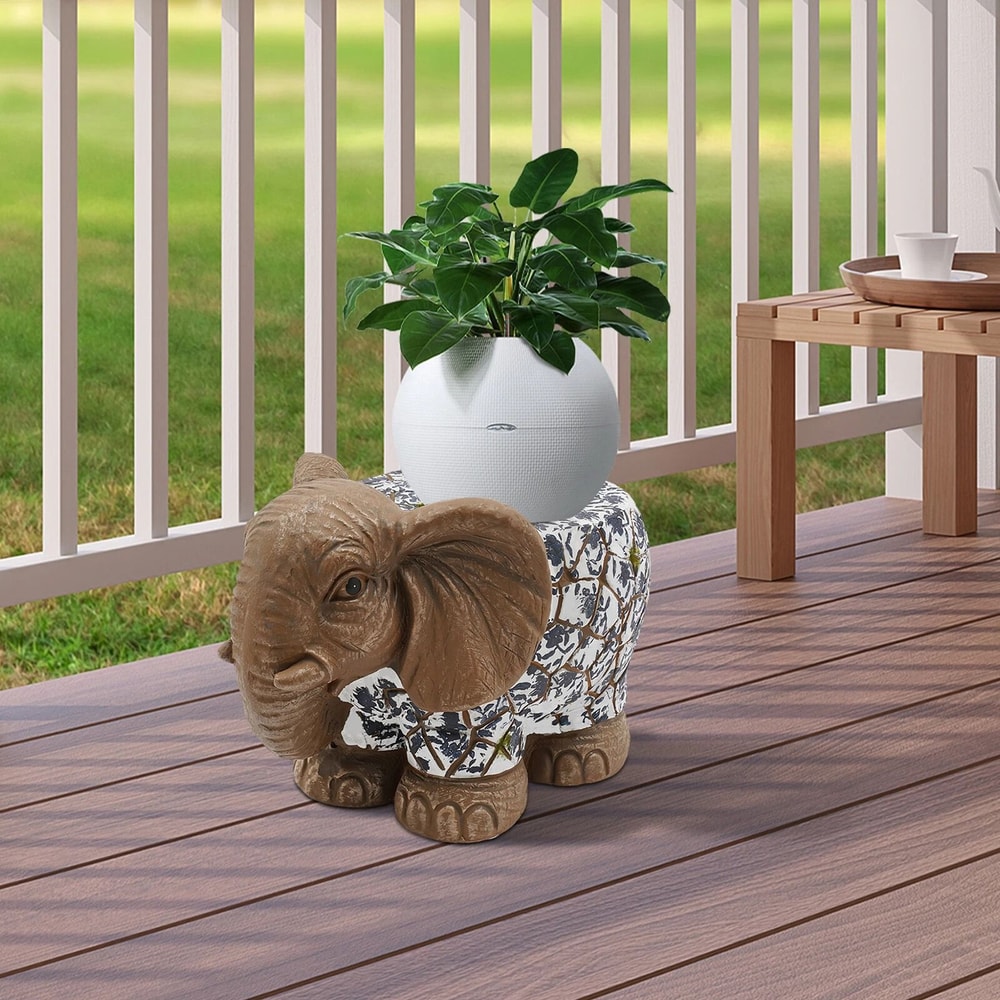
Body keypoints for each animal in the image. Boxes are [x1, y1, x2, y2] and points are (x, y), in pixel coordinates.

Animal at [221, 452, 649, 843]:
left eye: (352, 587)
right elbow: (363, 725)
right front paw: (338, 784)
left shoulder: (478, 675)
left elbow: (464, 738)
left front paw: (446, 817)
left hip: (611, 647)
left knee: (593, 699)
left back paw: (579, 763)